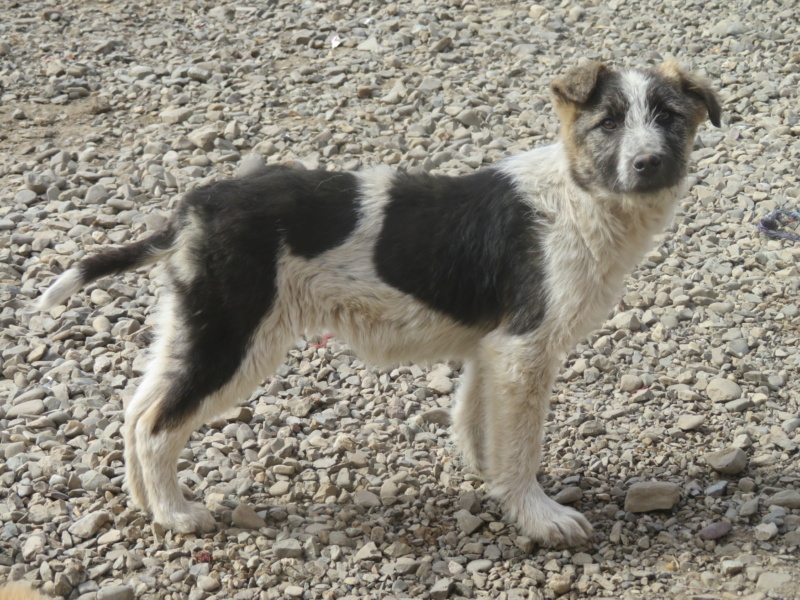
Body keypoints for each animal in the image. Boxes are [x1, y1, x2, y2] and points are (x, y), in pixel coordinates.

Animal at [37, 62, 720, 548]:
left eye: (669, 116)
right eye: (608, 122)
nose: (649, 163)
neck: (580, 194)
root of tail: (191, 210)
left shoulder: (492, 349)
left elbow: (480, 426)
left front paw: (492, 484)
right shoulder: (525, 348)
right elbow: (521, 445)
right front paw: (539, 516)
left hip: (197, 328)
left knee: (136, 410)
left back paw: (145, 505)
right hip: (234, 338)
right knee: (157, 424)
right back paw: (178, 515)